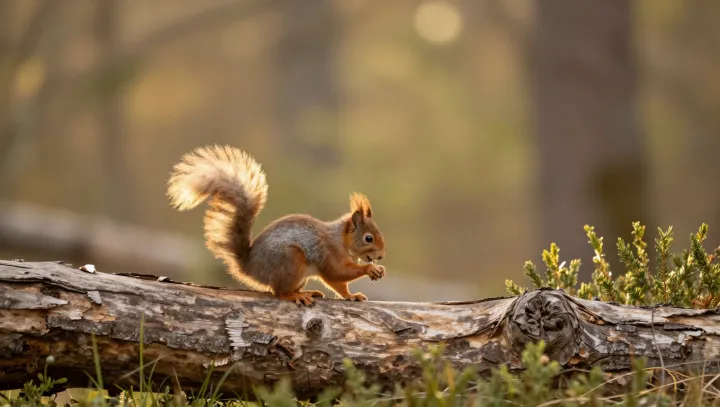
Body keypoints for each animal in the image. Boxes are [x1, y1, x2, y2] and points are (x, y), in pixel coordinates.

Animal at [166, 145, 386, 306]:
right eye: (368, 238)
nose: (382, 256)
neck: (340, 239)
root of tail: (249, 266)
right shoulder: (328, 254)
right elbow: (337, 275)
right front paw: (369, 270)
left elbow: (341, 285)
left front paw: (355, 293)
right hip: (290, 260)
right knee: (279, 292)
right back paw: (296, 296)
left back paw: (309, 291)